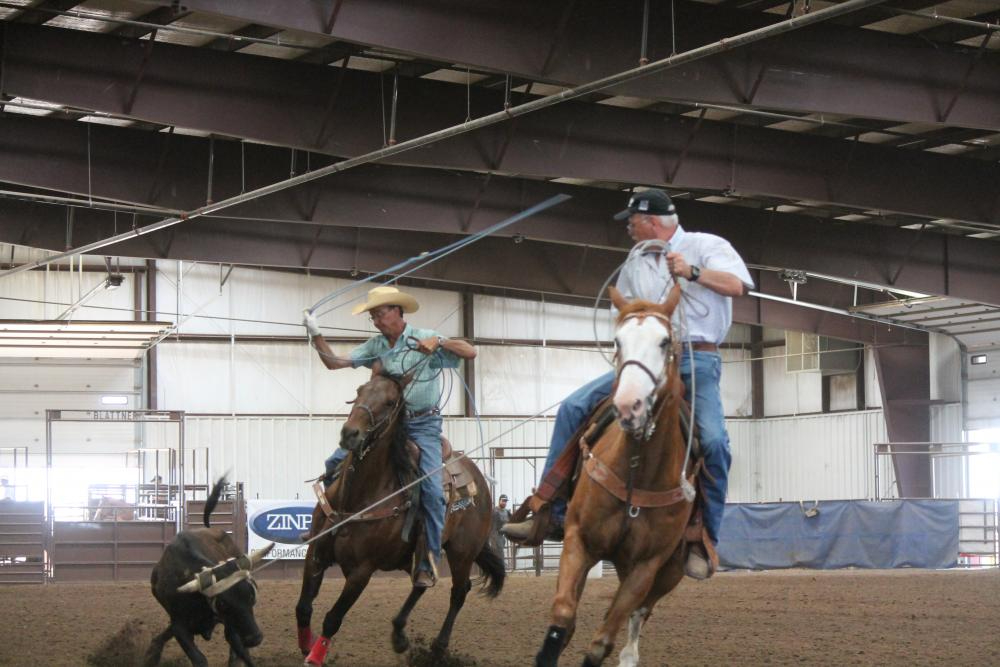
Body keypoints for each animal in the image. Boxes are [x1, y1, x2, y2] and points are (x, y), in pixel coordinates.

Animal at [292, 368, 504, 664]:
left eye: (391, 402)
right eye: (359, 391)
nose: (350, 433)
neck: (357, 499)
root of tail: (481, 482)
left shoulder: (362, 570)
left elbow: (333, 618)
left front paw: (314, 656)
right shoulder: (316, 554)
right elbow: (303, 606)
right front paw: (306, 645)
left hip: (462, 552)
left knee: (459, 592)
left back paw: (438, 647)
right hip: (419, 554)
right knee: (421, 584)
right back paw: (399, 634)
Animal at [540, 288, 696, 667]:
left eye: (664, 341)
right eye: (617, 340)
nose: (629, 405)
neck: (637, 472)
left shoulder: (645, 566)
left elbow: (602, 641)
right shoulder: (578, 539)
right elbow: (563, 614)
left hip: (667, 572)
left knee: (638, 615)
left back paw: (629, 655)